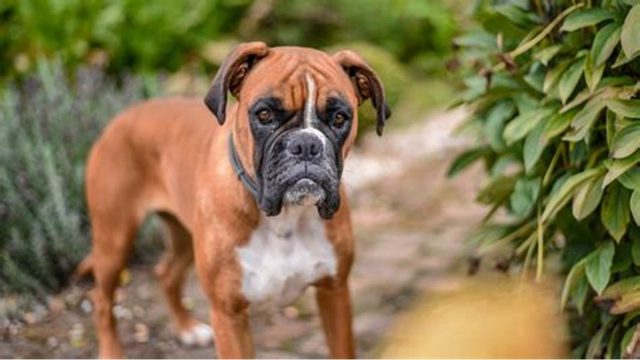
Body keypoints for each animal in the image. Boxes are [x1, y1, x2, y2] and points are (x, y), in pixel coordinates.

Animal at [80, 41, 390, 358]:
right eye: (264, 115)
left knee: (166, 274)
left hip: (183, 236)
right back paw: (112, 351)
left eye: (340, 118)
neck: (285, 217)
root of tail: (121, 118)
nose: (306, 144)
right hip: (114, 240)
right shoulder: (229, 314)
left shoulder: (334, 292)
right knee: (102, 300)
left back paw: (187, 328)